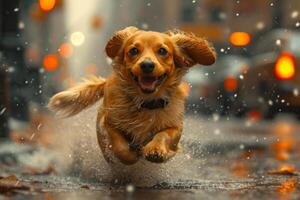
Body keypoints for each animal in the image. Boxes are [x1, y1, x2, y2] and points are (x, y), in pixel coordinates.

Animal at [48, 26, 216, 165]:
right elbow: (119, 146)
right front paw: (131, 155)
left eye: (162, 51)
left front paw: (156, 150)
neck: (146, 103)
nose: (147, 65)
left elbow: (164, 135)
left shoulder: (175, 127)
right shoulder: (108, 123)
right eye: (134, 50)